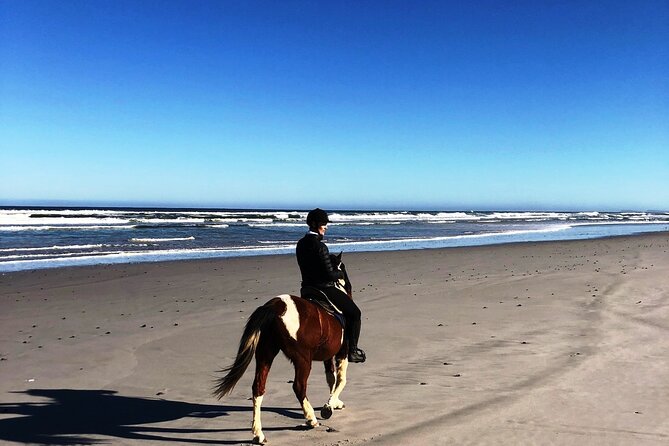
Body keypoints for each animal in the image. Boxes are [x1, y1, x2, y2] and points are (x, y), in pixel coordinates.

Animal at [213, 253, 353, 445]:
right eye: (343, 268)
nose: (349, 287)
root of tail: (273, 306)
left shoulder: (328, 356)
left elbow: (331, 378)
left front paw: (334, 402)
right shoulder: (342, 351)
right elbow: (341, 379)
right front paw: (329, 406)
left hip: (265, 354)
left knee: (258, 388)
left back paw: (258, 434)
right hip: (302, 359)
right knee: (299, 386)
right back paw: (310, 418)